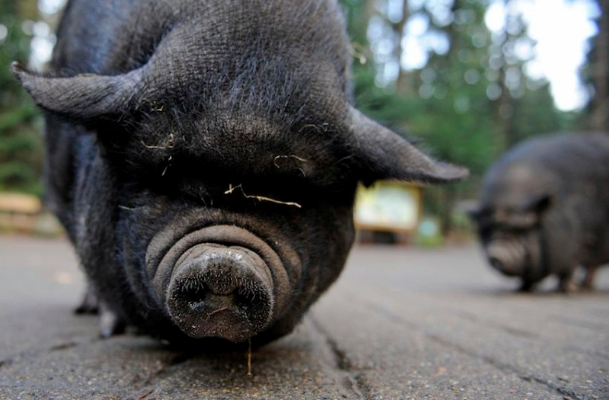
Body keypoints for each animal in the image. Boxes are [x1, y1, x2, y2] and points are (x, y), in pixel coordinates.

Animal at [470, 133, 608, 292]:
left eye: (521, 229)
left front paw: (569, 290)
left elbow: (570, 266)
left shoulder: (582, 239)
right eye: (489, 229)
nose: (496, 255)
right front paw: (523, 288)